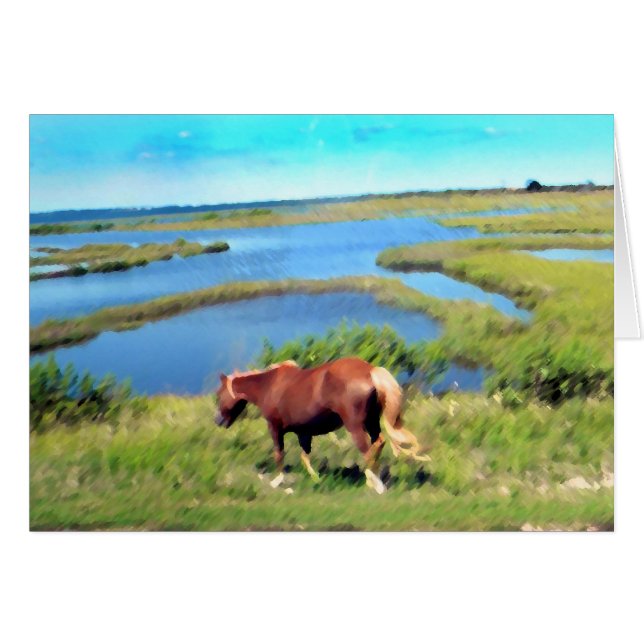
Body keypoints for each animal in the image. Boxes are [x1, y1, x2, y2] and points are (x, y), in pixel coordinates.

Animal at [214, 357, 428, 494]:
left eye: (218, 394)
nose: (217, 421)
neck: (270, 385)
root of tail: (370, 371)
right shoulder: (304, 432)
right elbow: (305, 456)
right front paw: (315, 478)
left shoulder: (275, 428)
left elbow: (279, 454)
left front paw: (277, 481)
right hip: (372, 422)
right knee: (379, 443)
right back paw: (376, 480)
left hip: (356, 426)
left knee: (369, 450)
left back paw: (376, 485)